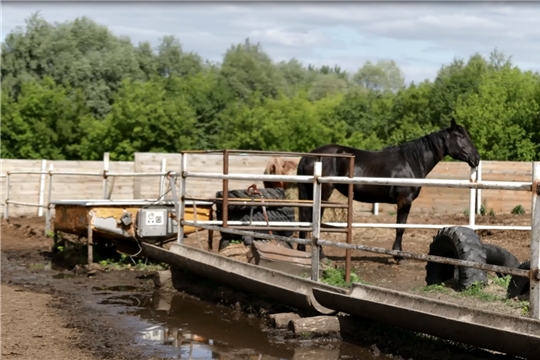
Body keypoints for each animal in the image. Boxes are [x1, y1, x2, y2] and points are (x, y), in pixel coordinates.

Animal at [296, 119, 480, 264]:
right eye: (460, 136)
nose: (476, 158)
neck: (411, 161)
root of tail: (308, 156)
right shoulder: (405, 201)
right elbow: (400, 228)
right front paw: (398, 256)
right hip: (323, 195)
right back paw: (321, 256)